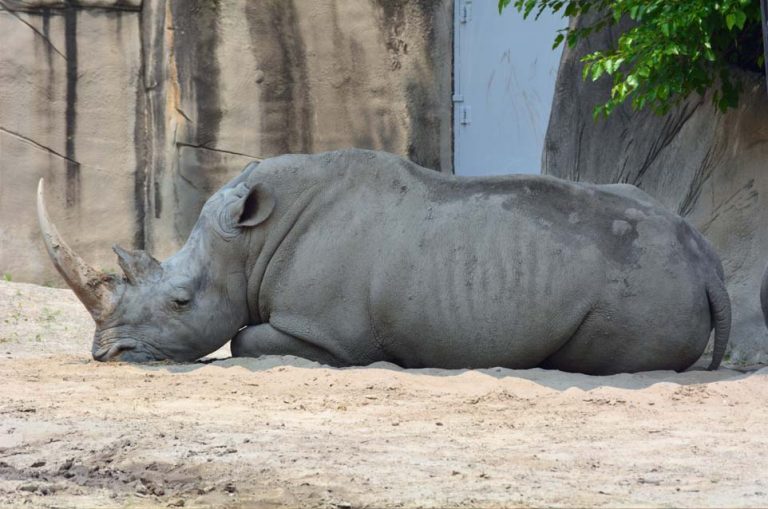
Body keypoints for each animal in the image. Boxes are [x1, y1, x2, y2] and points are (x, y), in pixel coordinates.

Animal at [37, 149, 730, 375]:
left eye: (181, 302)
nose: (107, 356)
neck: (250, 243)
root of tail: (709, 264)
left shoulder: (330, 335)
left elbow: (243, 341)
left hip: (643, 282)